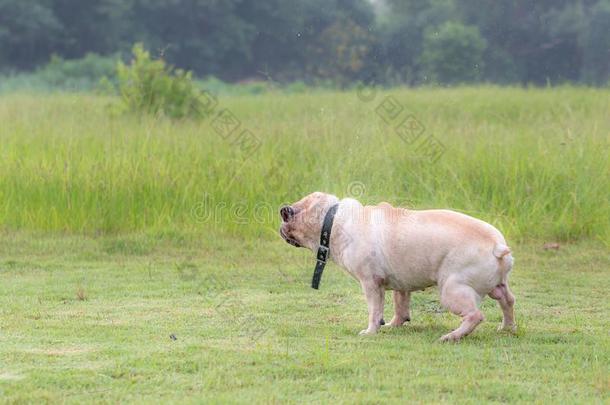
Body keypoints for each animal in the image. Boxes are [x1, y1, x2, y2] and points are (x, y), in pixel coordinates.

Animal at [280, 193, 512, 340]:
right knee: (507, 301)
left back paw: (452, 336)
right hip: (496, 287)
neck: (333, 219)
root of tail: (497, 246)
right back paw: (507, 328)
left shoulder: (370, 283)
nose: (282, 213)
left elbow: (374, 311)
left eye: (288, 215)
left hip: (451, 291)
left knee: (475, 315)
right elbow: (400, 306)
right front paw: (394, 324)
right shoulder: (401, 284)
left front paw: (371, 331)